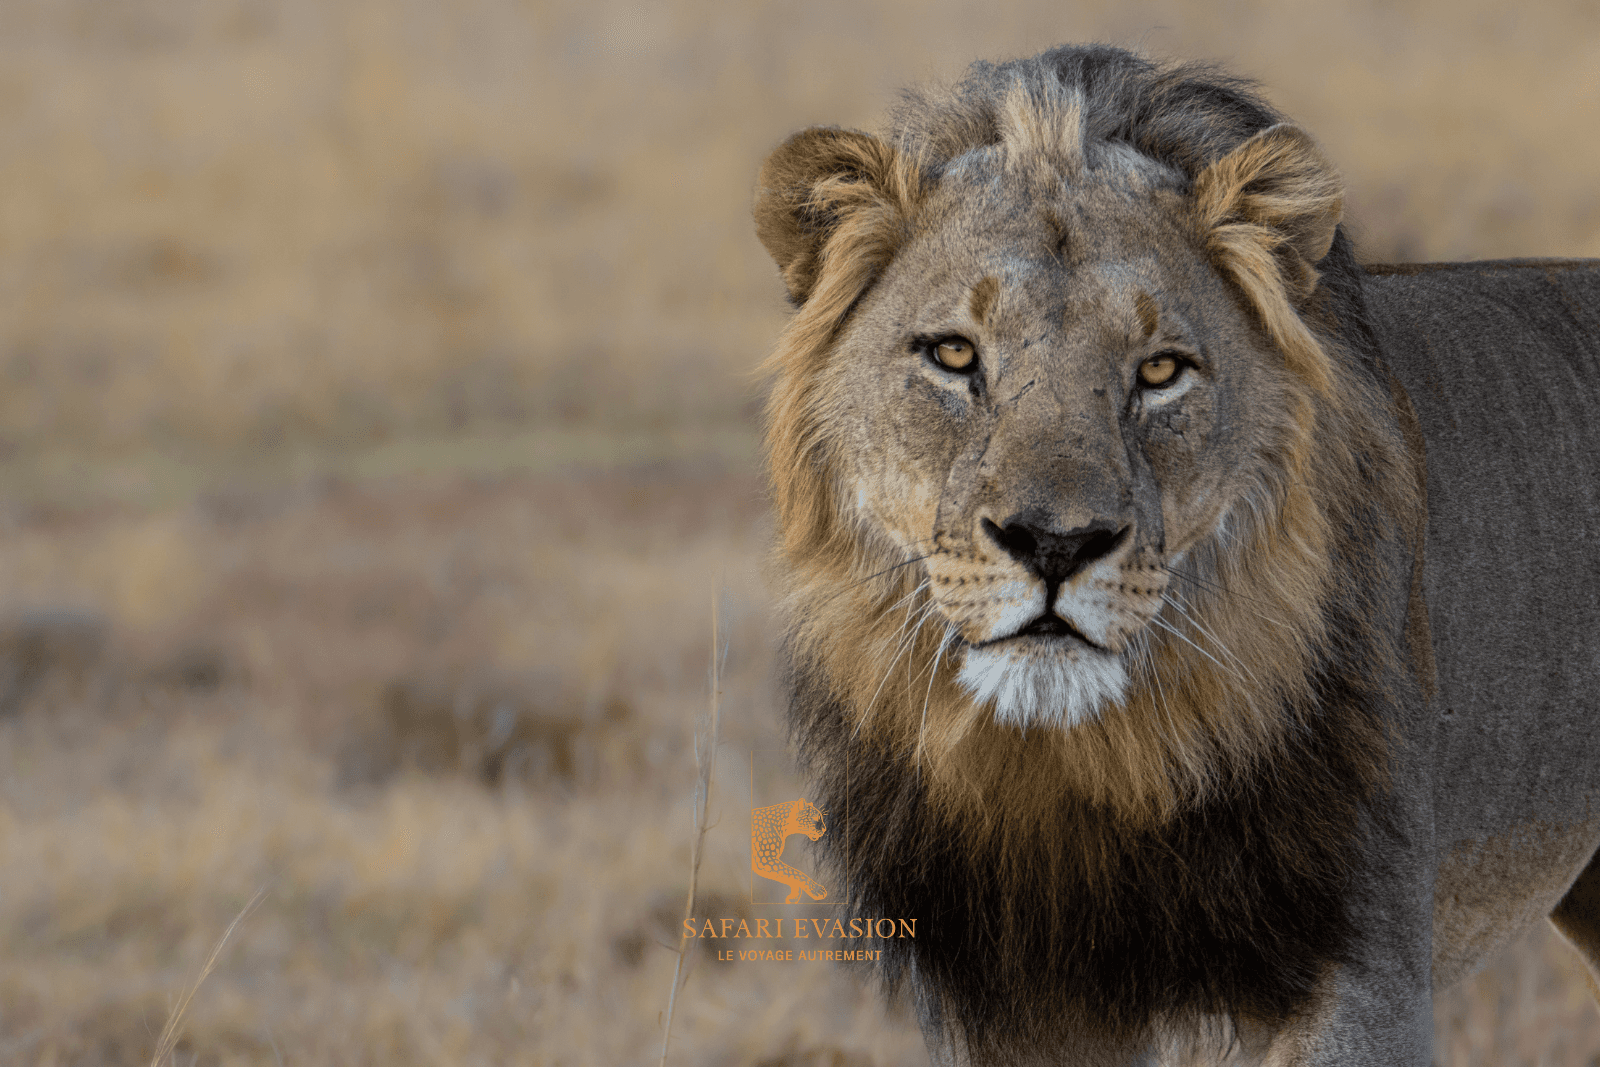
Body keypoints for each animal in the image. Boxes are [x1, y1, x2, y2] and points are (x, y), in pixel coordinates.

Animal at [752, 45, 1600, 1066]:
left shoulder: (1361, 973)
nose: (1055, 542)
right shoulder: (1005, 1005)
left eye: (1160, 371)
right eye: (953, 355)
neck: (1080, 773)